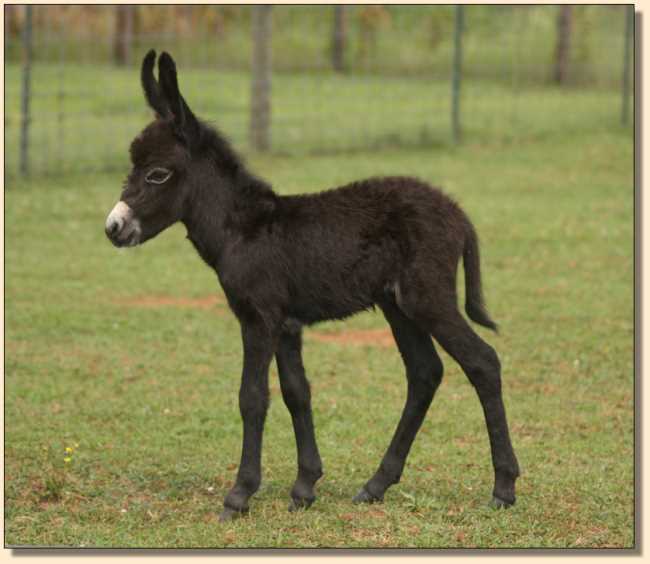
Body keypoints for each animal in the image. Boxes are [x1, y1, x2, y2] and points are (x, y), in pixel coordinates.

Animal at [107, 50, 520, 524]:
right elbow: (296, 393)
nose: (113, 228)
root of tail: (457, 212)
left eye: (157, 174)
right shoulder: (287, 324)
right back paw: (376, 485)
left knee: (483, 362)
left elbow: (253, 397)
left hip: (428, 298)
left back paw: (504, 488)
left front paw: (239, 495)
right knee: (424, 373)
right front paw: (304, 487)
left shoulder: (259, 319)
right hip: (398, 306)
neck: (244, 229)